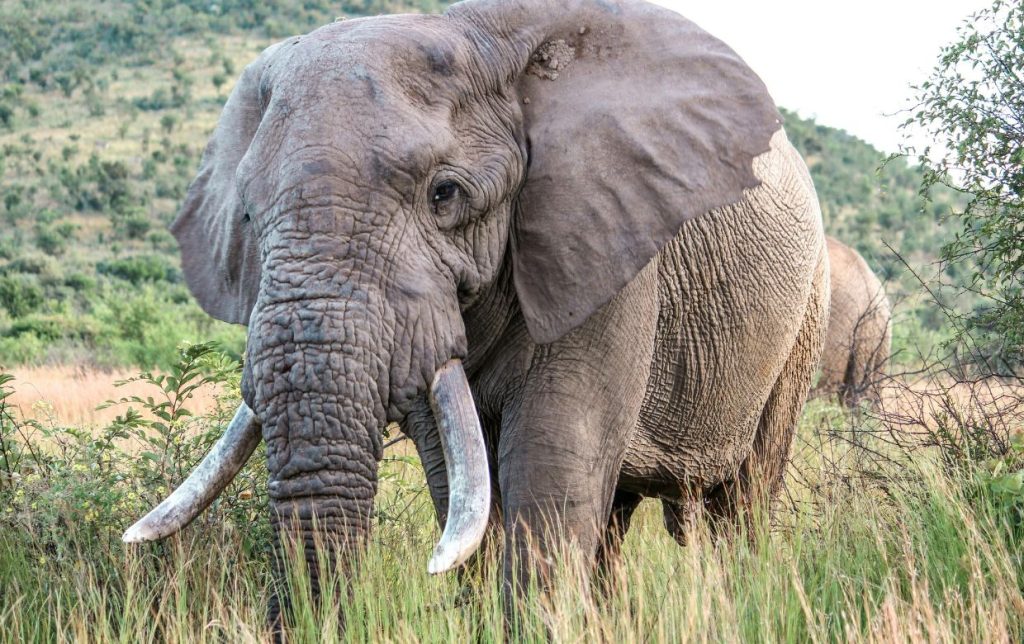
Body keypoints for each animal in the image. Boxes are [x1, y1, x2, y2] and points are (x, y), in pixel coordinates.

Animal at [122, 0, 830, 628]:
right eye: (245, 214)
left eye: (445, 194)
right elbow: (459, 480)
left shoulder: (605, 249)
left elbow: (552, 457)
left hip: (804, 318)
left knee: (743, 502)